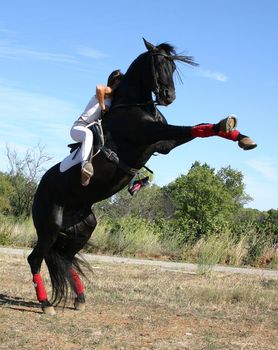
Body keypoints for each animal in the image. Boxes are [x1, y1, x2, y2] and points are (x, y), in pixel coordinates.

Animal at [28, 38, 256, 314]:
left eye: (173, 67)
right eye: (158, 64)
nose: (169, 97)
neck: (132, 104)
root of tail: (39, 190)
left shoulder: (162, 144)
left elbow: (198, 129)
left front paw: (239, 135)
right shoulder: (151, 132)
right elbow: (188, 128)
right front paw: (230, 127)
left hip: (82, 228)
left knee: (65, 259)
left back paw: (80, 299)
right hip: (49, 227)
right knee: (35, 259)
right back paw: (45, 304)